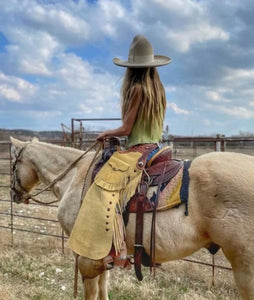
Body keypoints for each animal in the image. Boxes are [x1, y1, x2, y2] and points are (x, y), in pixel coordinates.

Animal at [8, 137, 254, 298]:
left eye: (13, 165)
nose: (13, 194)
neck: (76, 176)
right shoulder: (101, 254)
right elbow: (102, 287)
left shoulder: (86, 255)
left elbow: (91, 290)